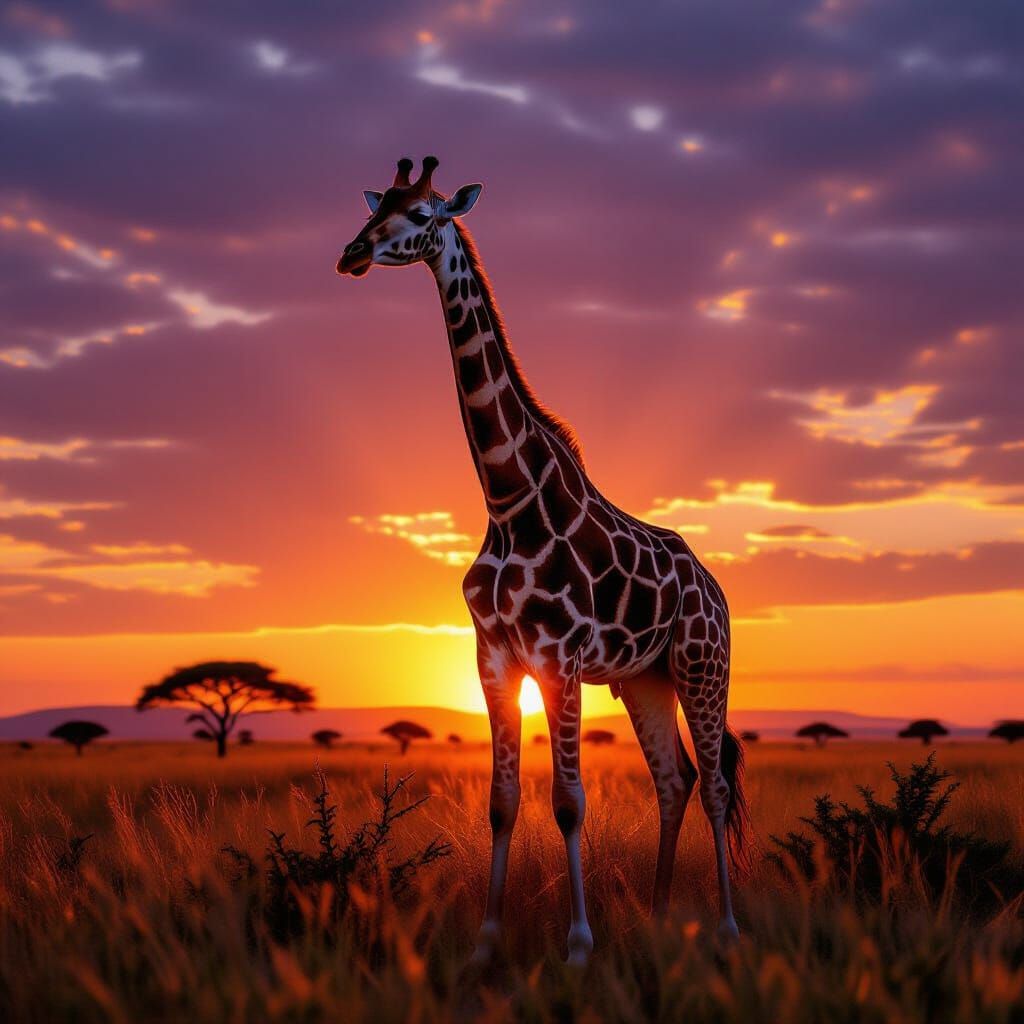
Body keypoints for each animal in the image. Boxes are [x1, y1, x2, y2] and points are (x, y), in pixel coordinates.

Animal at [336, 157, 749, 967]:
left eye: (424, 214)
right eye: (376, 207)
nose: (353, 255)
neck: (507, 501)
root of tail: (717, 590)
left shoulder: (559, 657)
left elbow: (569, 801)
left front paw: (580, 944)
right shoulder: (494, 655)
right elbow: (503, 802)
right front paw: (487, 942)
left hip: (701, 664)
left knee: (715, 784)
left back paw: (724, 928)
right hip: (644, 677)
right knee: (676, 780)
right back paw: (659, 917)